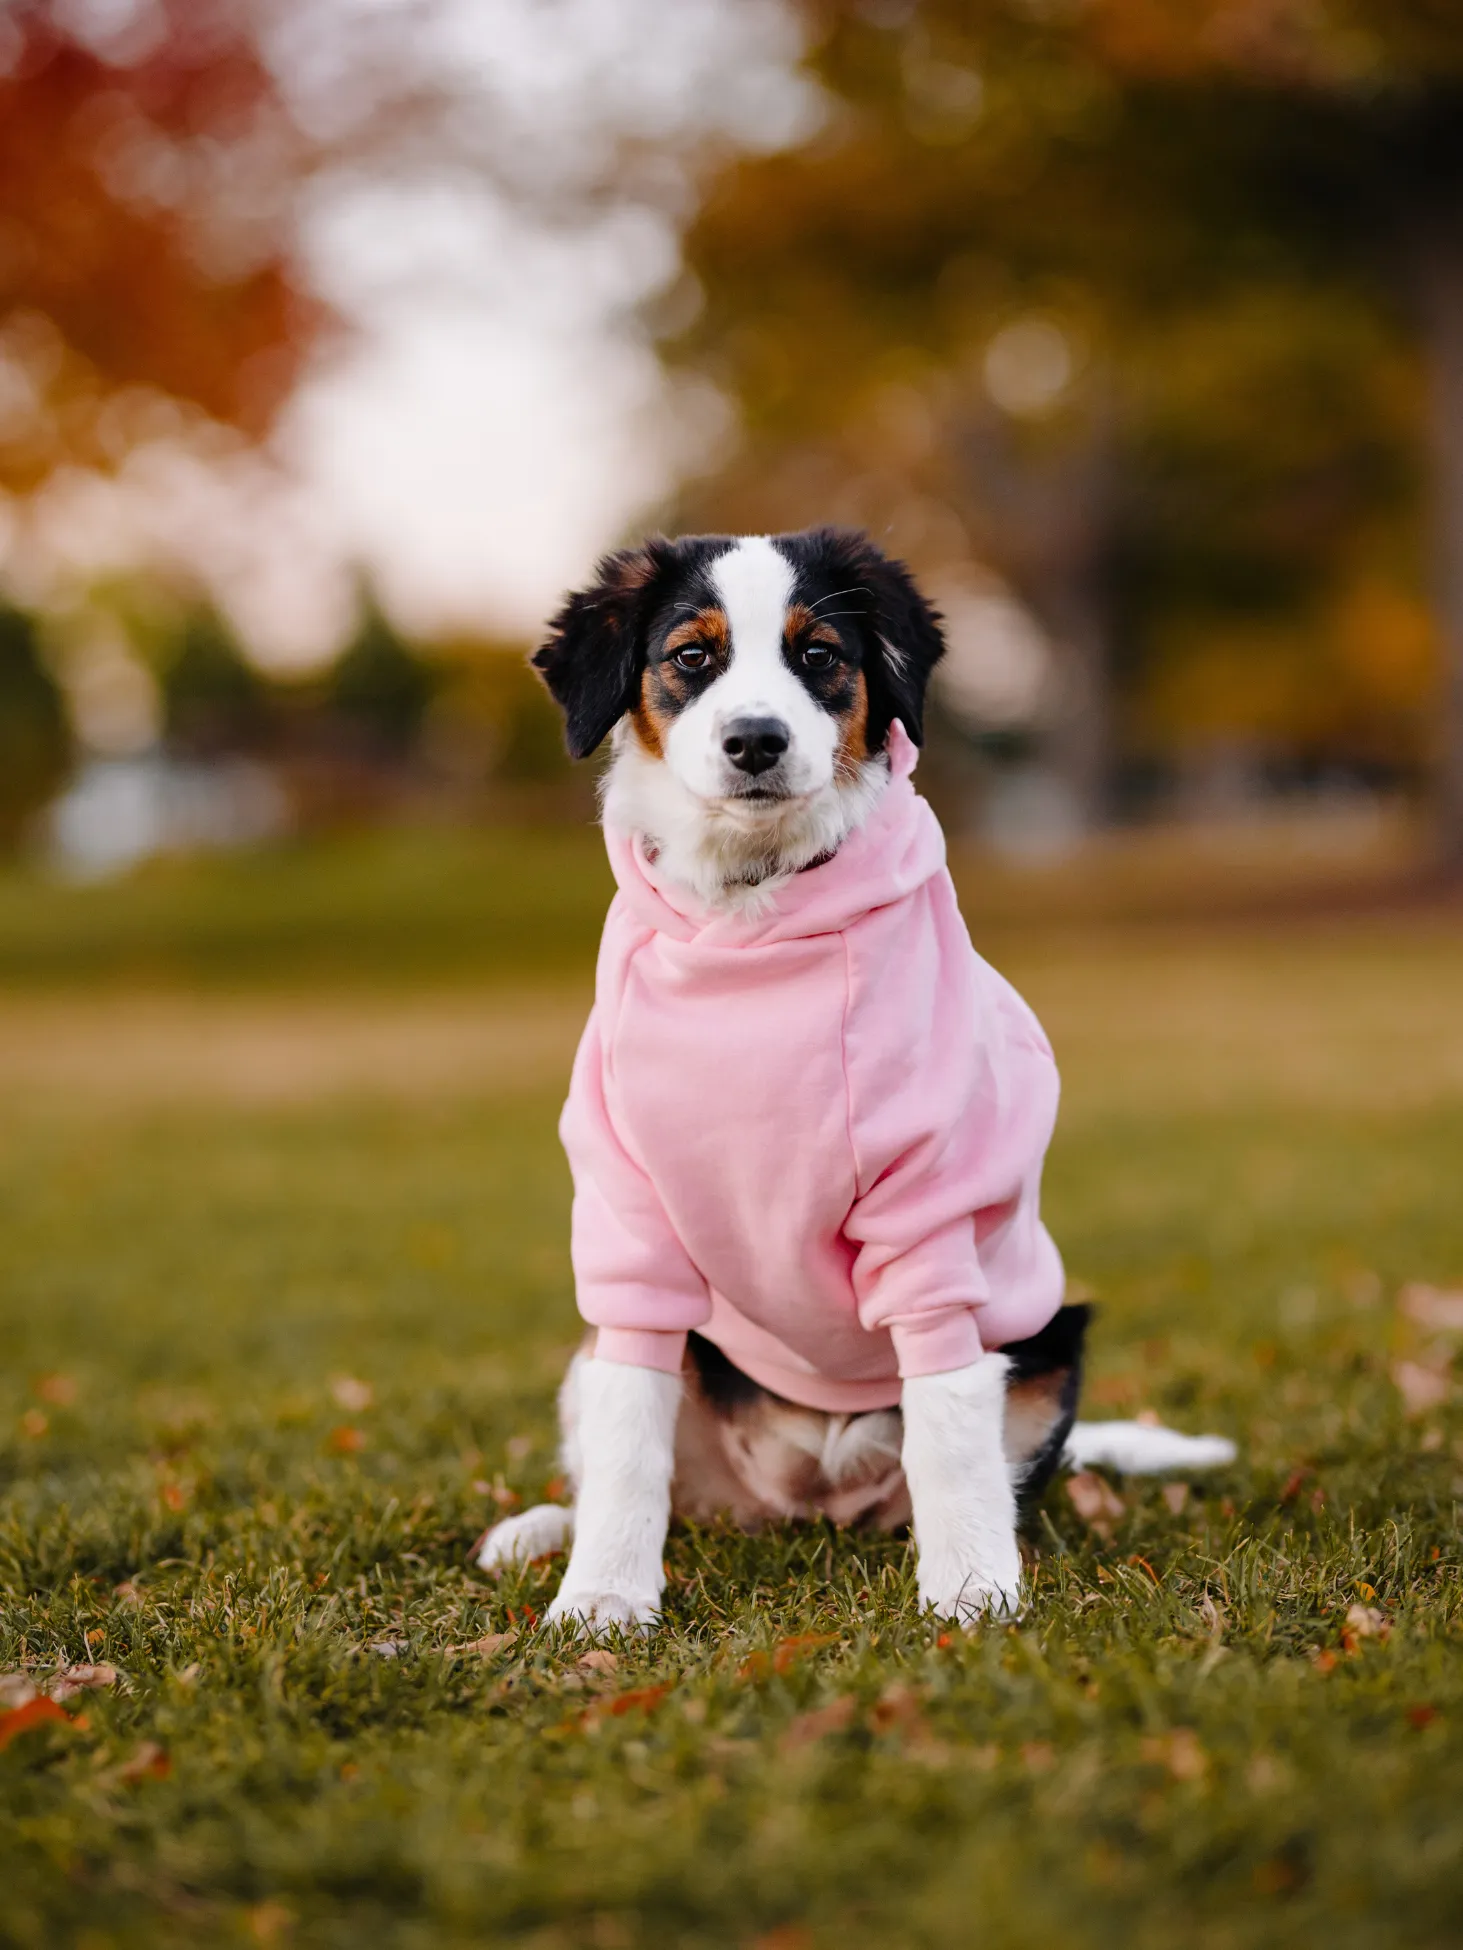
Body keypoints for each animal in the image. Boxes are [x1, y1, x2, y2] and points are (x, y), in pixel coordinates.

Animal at [481, 522, 1240, 1630]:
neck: (752, 918)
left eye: (818, 654)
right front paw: (602, 1601)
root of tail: (804, 1500)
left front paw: (969, 1592)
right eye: (691, 657)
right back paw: (539, 1532)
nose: (755, 740)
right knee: (653, 1470)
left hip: (1049, 1339)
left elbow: (951, 1431)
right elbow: (628, 1444)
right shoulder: (627, 1223)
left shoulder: (929, 1215)